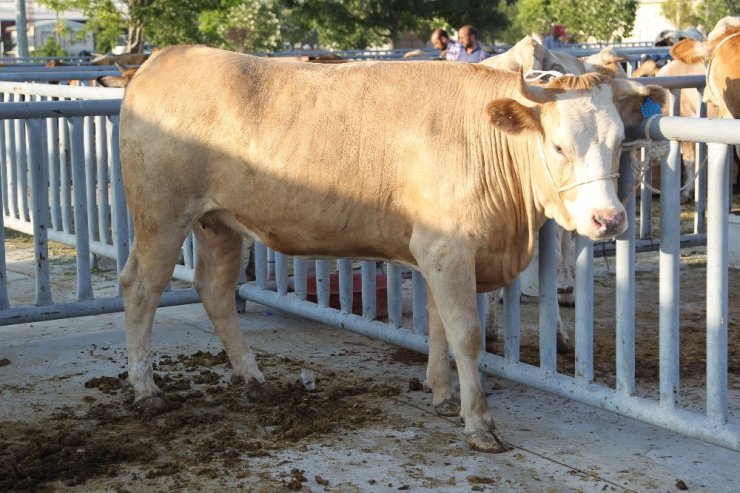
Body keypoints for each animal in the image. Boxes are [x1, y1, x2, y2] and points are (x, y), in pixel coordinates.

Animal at [120, 44, 664, 452]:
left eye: (618, 141)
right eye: (557, 145)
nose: (609, 219)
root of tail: (168, 55)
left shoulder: (441, 253)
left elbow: (440, 325)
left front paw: (442, 394)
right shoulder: (447, 248)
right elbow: (465, 334)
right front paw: (479, 422)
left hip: (218, 223)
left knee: (214, 290)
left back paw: (252, 376)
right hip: (160, 216)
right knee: (141, 289)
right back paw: (146, 389)